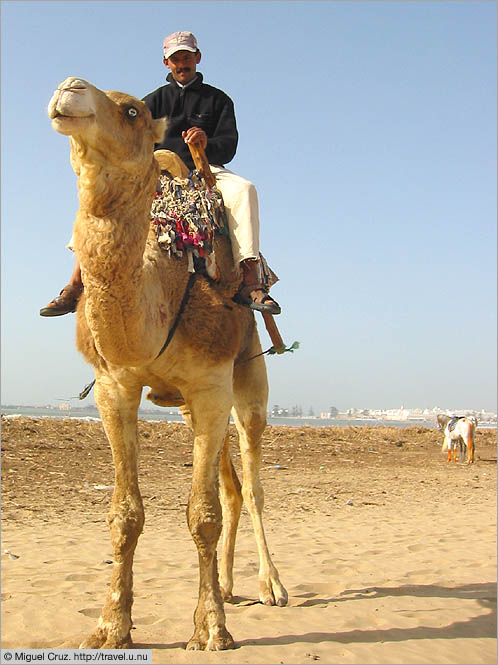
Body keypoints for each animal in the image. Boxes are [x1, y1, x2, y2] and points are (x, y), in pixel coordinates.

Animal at [48, 78, 288, 648]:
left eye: (134, 110)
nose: (69, 88)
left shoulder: (212, 384)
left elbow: (202, 515)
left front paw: (212, 631)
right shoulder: (115, 385)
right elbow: (126, 515)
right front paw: (110, 627)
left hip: (248, 376)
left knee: (254, 480)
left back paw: (270, 586)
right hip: (186, 406)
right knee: (233, 488)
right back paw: (228, 586)